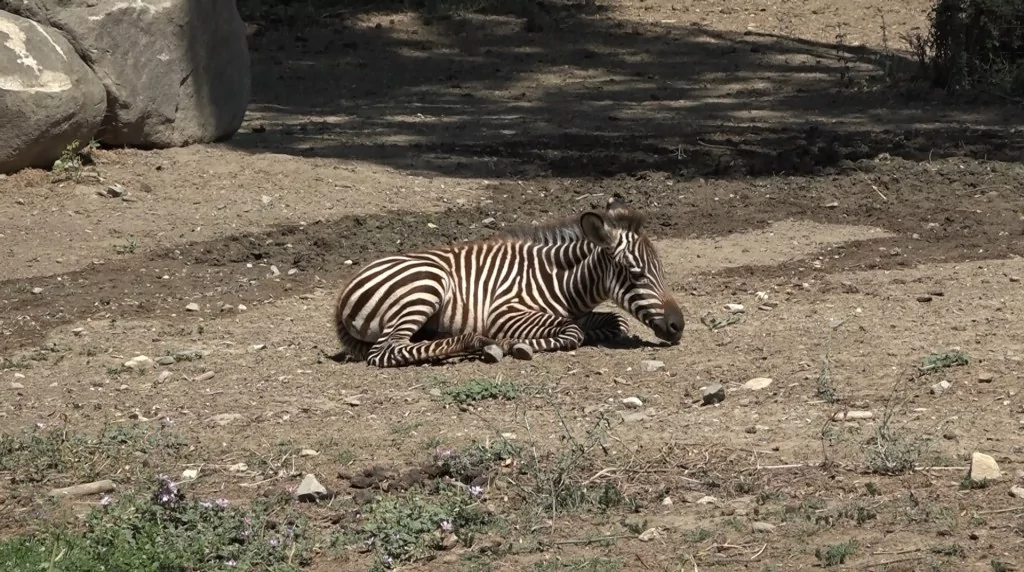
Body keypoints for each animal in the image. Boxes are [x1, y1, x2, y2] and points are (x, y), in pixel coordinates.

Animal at [333, 197, 685, 368]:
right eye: (636, 273)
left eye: (662, 270)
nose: (678, 326)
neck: (562, 283)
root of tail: (342, 294)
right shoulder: (505, 313)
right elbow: (572, 332)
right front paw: (515, 344)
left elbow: (614, 322)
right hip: (425, 287)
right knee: (385, 352)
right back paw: (477, 342)